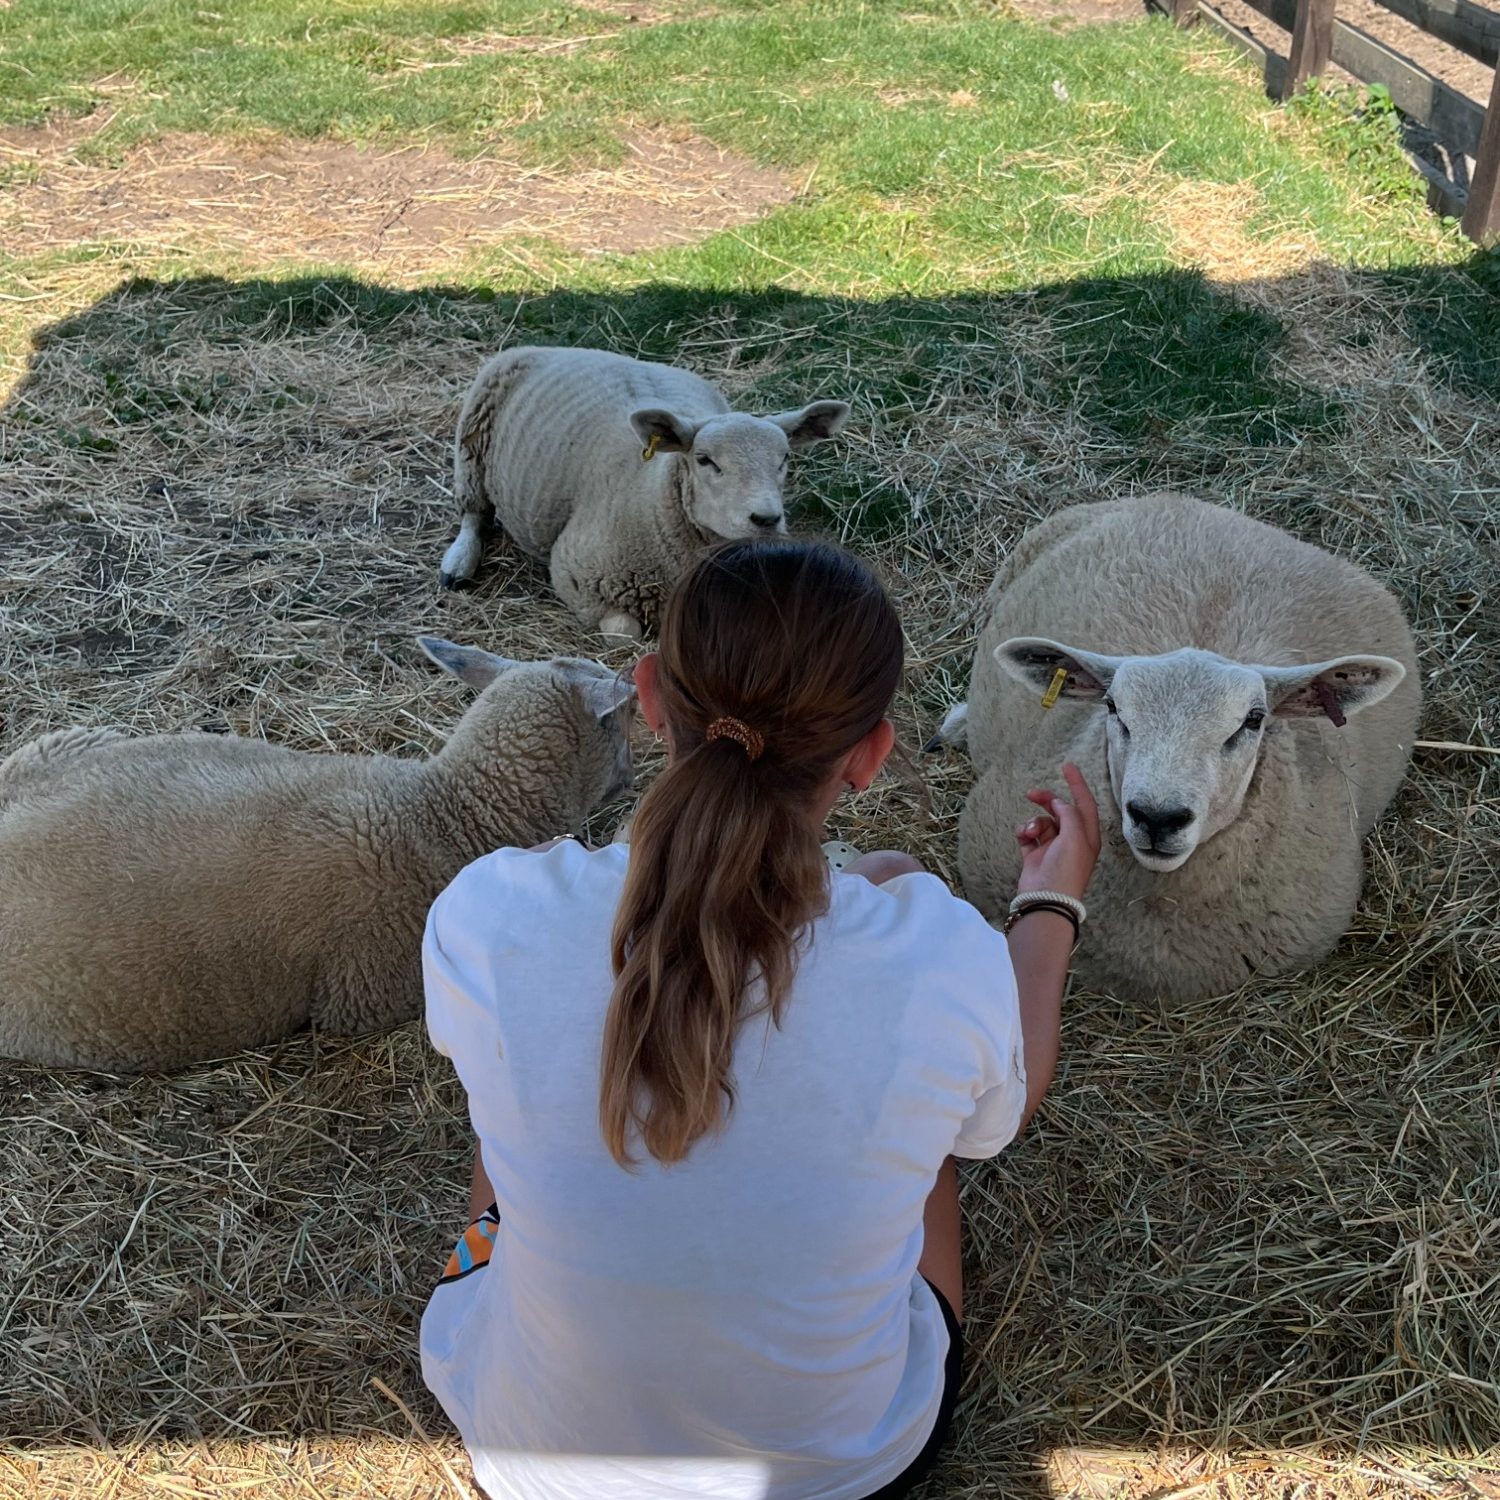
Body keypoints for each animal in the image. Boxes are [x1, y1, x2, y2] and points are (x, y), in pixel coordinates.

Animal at [437, 346, 850, 639]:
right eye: (704, 460)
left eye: (784, 458)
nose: (766, 519)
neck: (655, 492)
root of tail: (563, 348)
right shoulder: (576, 577)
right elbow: (625, 634)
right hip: (473, 439)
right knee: (473, 513)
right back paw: (457, 564)